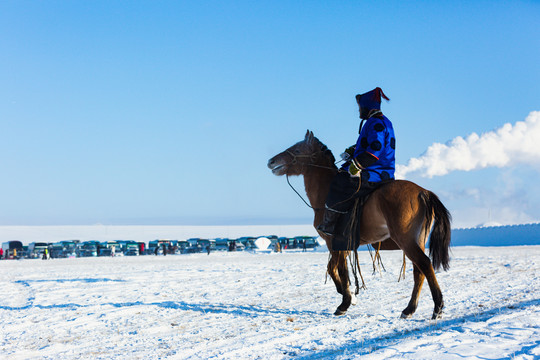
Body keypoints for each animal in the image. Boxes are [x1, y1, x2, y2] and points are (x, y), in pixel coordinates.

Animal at [266, 131, 452, 320]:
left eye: (297, 149)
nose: (271, 161)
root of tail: (423, 192)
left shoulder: (334, 242)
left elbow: (340, 270)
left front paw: (345, 302)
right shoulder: (345, 245)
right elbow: (333, 269)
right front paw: (348, 296)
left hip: (406, 240)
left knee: (425, 265)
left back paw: (437, 307)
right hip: (417, 240)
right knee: (419, 271)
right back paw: (410, 309)